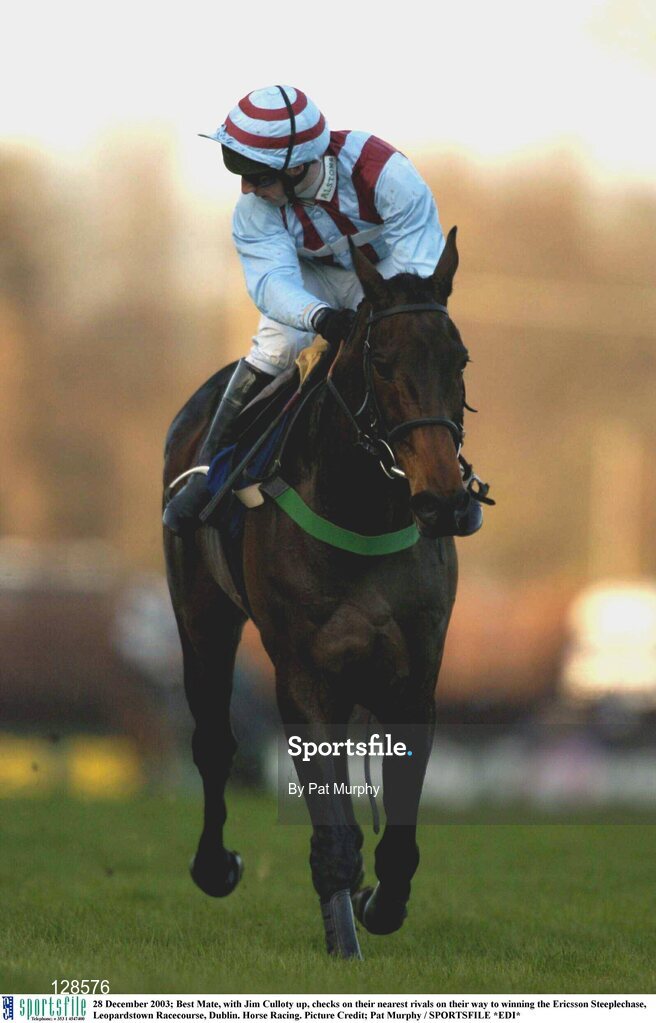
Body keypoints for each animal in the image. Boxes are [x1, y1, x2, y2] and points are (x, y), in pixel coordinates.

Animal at [163, 227, 484, 959]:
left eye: (459, 359)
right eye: (383, 361)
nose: (443, 499)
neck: (364, 511)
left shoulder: (414, 675)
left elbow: (398, 833)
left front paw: (378, 903)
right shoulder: (304, 675)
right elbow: (333, 827)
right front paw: (345, 933)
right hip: (201, 619)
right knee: (214, 741)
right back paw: (214, 865)